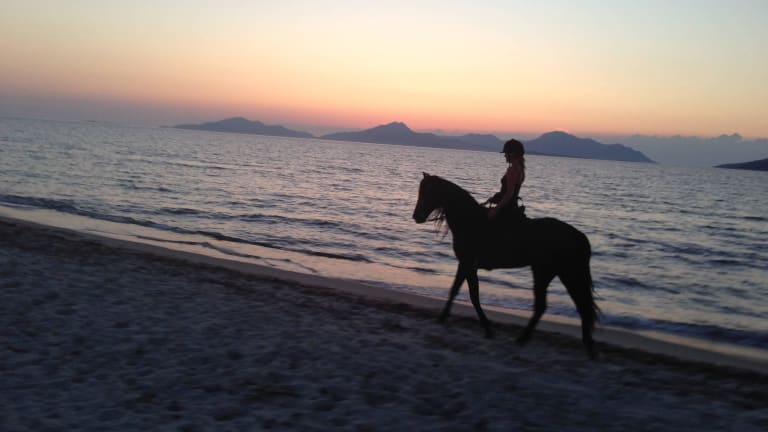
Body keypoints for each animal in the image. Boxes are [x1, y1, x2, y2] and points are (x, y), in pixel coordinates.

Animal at [412, 173, 599, 358]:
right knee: (575, 306)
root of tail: (577, 235)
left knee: (555, 306)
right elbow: (459, 291)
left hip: (551, 273)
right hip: (558, 273)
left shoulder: (467, 264)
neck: (471, 221)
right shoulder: (466, 265)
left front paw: (485, 328)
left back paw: (524, 339)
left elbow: (471, 296)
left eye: (428, 191)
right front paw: (445, 318)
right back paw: (585, 345)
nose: (416, 216)